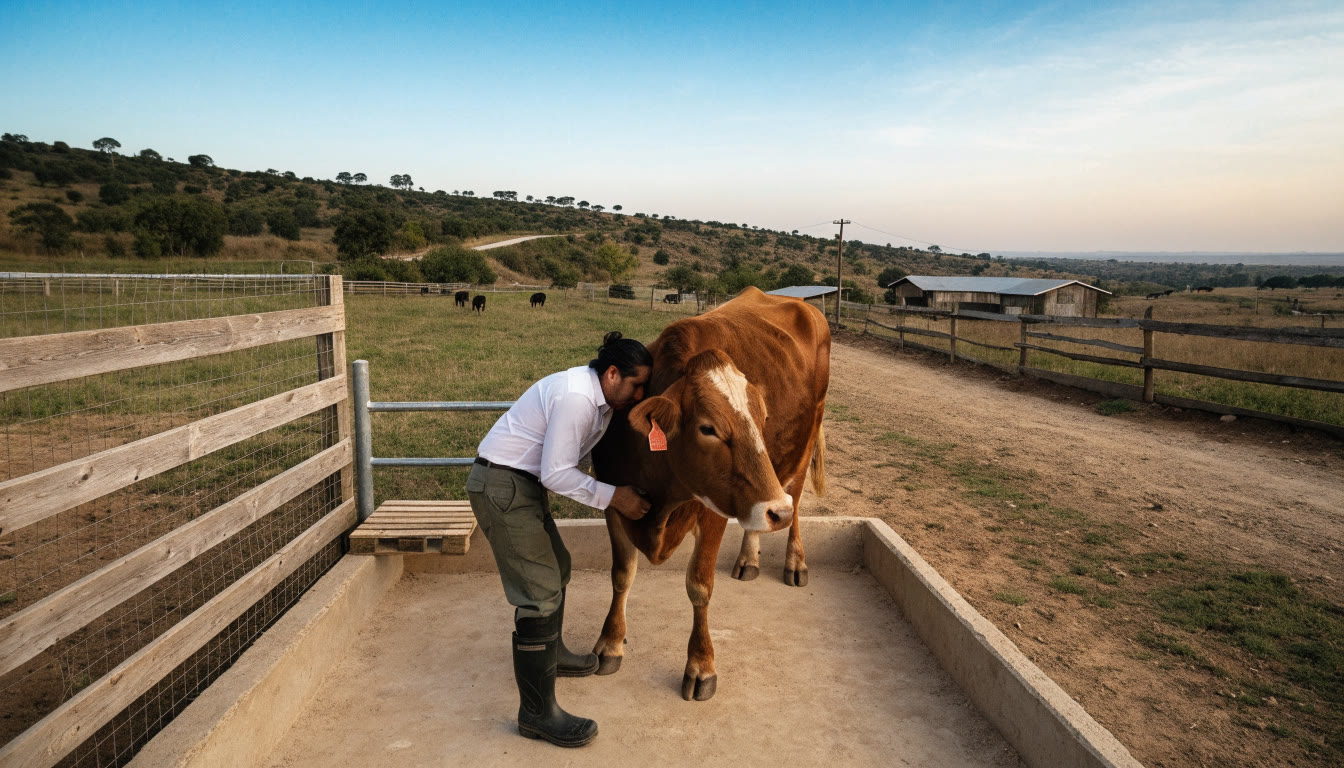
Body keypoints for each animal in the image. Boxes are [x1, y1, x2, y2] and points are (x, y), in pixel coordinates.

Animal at [590, 286, 830, 701]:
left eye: (762, 419)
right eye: (708, 428)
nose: (776, 510)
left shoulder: (714, 511)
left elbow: (699, 586)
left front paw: (701, 665)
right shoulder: (614, 503)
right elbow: (621, 576)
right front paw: (611, 643)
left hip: (806, 437)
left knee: (797, 502)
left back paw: (795, 561)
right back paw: (750, 557)